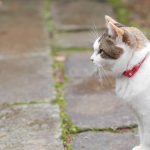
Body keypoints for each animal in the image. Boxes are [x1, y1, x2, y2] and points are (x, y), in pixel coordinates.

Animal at [91, 15, 150, 150]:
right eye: (94, 49)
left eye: (101, 51)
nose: (90, 59)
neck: (135, 68)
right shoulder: (139, 114)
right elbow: (142, 133)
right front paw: (142, 147)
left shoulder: (146, 115)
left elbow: (147, 135)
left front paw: (145, 147)